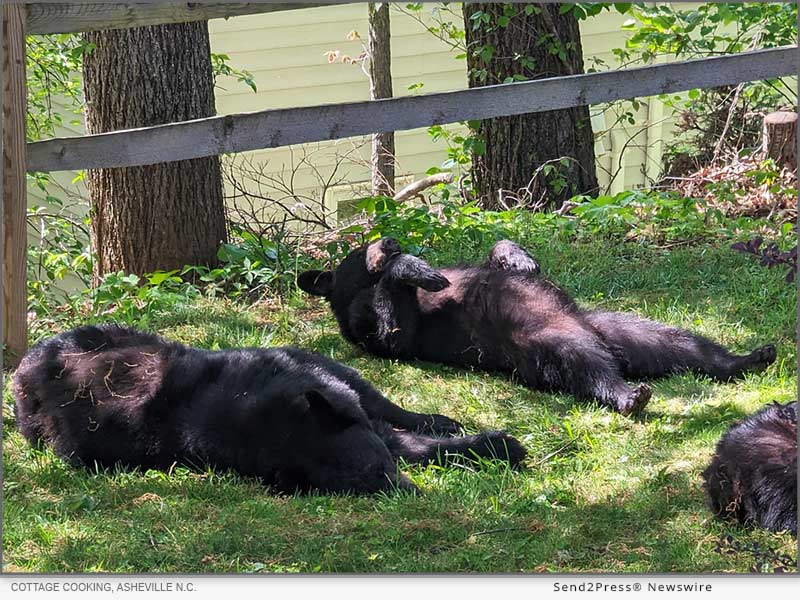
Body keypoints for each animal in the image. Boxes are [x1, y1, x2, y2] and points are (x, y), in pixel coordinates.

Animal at [14, 326, 524, 494]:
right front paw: (494, 447)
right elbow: (415, 445)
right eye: (361, 482)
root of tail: (23, 368)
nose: (407, 493)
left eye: (376, 469)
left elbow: (395, 416)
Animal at [298, 237, 776, 414]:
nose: (392, 240)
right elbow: (394, 332)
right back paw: (627, 394)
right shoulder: (367, 319)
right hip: (542, 340)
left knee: (676, 342)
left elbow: (500, 253)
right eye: (364, 247)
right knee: (582, 363)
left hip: (610, 324)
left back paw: (747, 358)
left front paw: (519, 258)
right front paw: (413, 269)